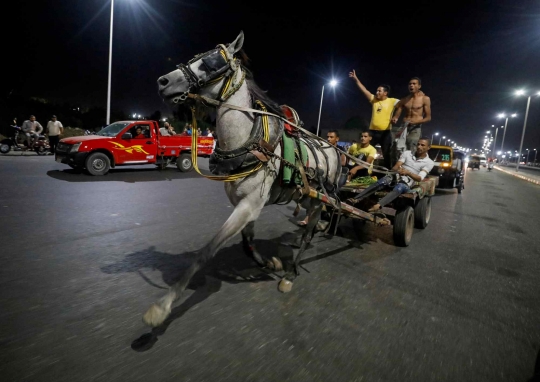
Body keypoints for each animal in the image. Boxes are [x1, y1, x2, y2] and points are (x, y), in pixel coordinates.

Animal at [143, 31, 342, 326]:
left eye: (212, 62)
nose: (163, 81)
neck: (249, 141)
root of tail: (334, 149)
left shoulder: (248, 205)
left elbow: (207, 250)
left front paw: (163, 305)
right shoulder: (244, 203)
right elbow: (247, 243)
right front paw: (270, 263)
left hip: (319, 200)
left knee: (308, 235)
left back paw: (291, 273)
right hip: (306, 196)